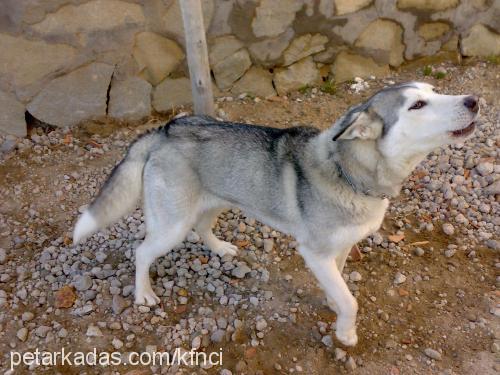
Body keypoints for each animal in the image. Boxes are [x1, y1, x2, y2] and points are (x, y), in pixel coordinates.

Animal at [73, 81, 476, 346]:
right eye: (417, 105)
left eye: (436, 91)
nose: (474, 100)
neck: (350, 172)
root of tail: (164, 129)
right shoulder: (314, 252)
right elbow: (351, 299)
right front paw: (345, 332)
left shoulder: (340, 248)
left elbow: (340, 283)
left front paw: (333, 303)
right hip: (172, 224)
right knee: (142, 251)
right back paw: (143, 294)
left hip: (216, 200)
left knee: (203, 227)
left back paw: (220, 249)